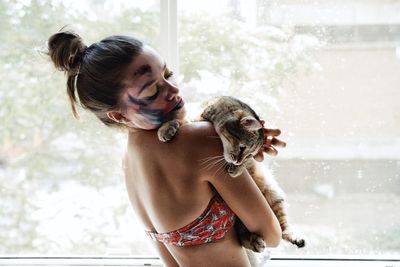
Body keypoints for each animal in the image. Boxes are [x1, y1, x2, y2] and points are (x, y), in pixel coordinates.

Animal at [158, 97, 304, 252]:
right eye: (242, 147)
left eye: (249, 155)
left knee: (282, 227)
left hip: (274, 195)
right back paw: (255, 241)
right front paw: (166, 128)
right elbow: (181, 119)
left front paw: (237, 168)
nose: (238, 160)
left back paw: (291, 238)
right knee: (242, 234)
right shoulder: (194, 118)